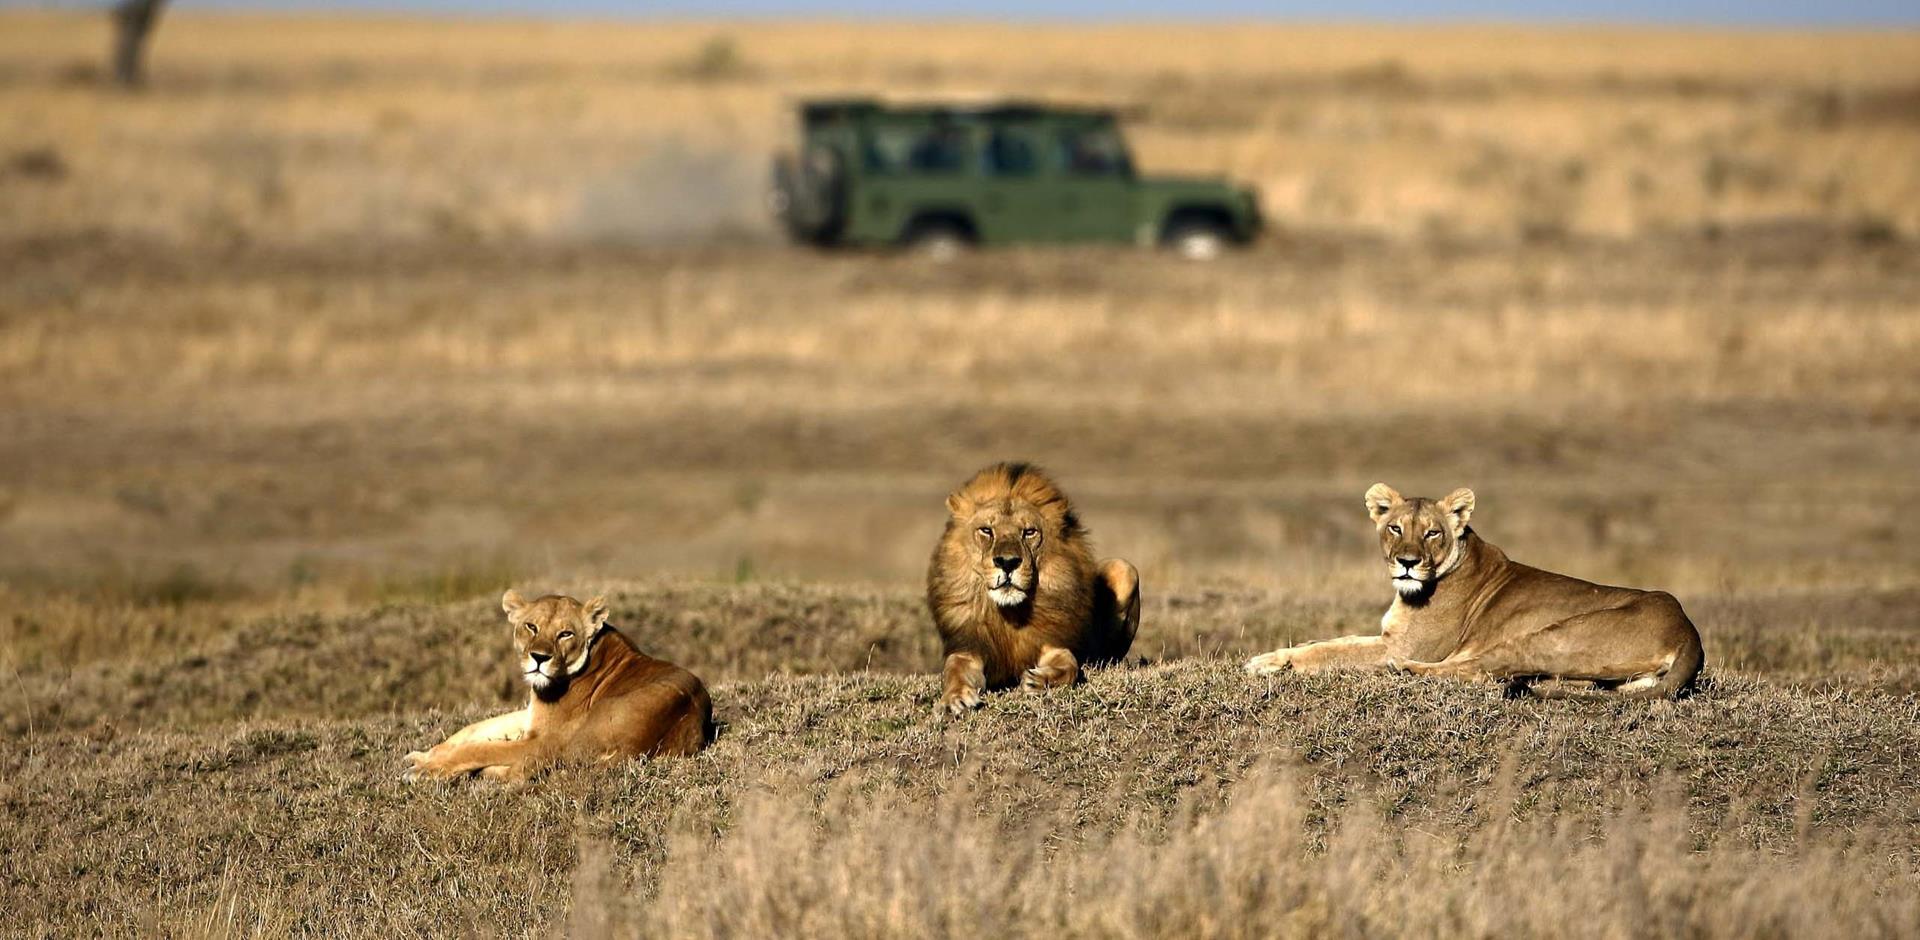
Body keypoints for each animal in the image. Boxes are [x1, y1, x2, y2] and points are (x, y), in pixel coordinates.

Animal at [407, 590, 714, 782]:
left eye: (565, 634)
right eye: (531, 627)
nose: (539, 658)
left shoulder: (543, 739)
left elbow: (480, 747)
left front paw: (425, 770)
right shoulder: (531, 717)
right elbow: (475, 728)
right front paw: (424, 755)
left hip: (565, 742)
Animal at [929, 466, 1136, 717]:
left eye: (1029, 532)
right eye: (986, 530)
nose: (1007, 562)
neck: (1010, 614)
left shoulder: (1052, 642)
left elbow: (1069, 665)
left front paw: (1039, 680)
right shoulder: (969, 647)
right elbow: (954, 670)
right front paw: (955, 698)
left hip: (1125, 569)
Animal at [1244, 485, 1712, 698]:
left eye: (1432, 532)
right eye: (1395, 527)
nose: (1408, 562)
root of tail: (1689, 629)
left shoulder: (1403, 644)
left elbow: (1332, 651)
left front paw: (1269, 665)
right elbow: (1330, 640)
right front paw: (1275, 656)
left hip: (1551, 636)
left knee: (1482, 671)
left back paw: (1404, 671)